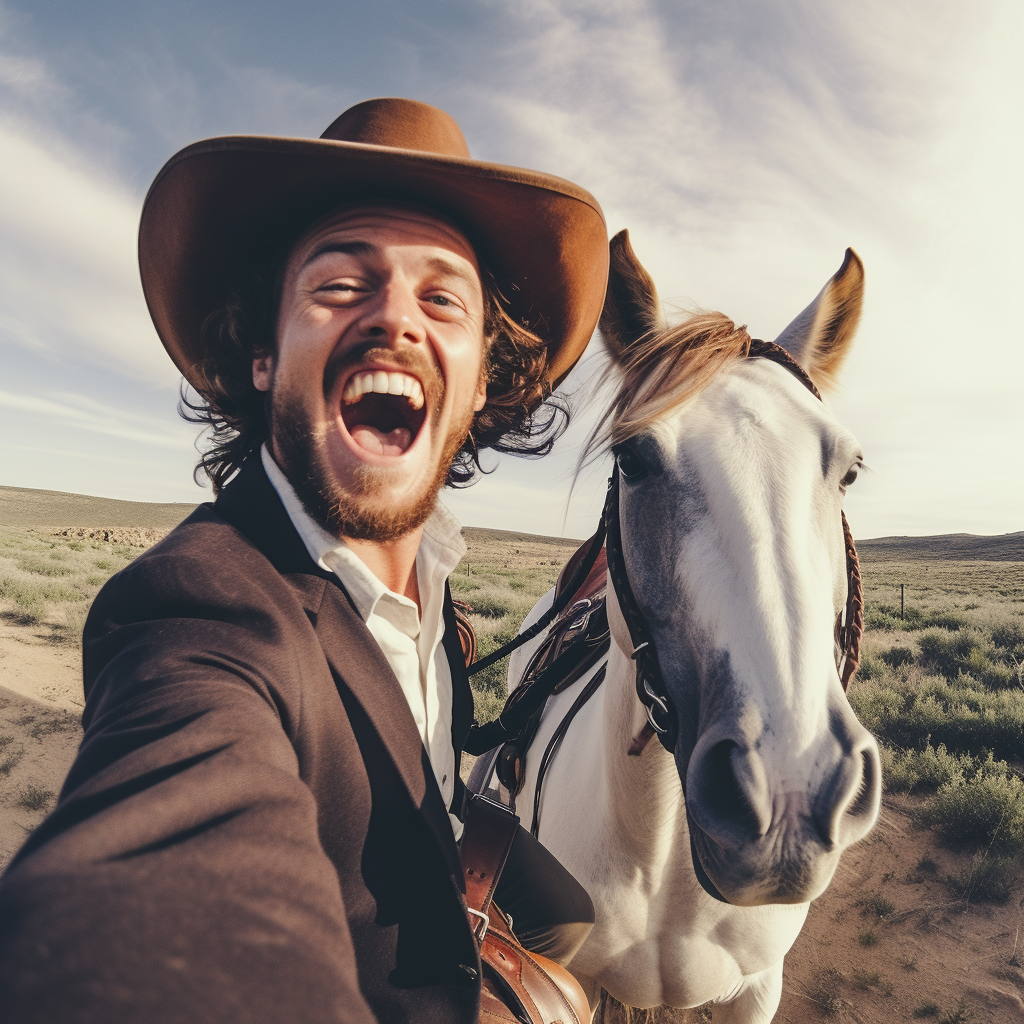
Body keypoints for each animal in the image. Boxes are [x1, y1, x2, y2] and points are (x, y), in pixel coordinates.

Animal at [479, 234, 880, 1024]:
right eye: (631, 458)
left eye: (849, 470)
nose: (787, 795)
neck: (665, 857)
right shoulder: (579, 983)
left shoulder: (757, 989)